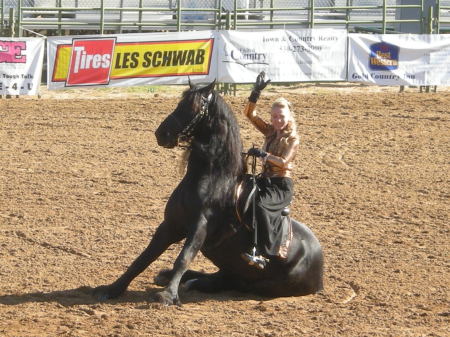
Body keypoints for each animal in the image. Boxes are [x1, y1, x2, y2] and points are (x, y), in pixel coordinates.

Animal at [93, 79, 322, 304]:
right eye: (180, 103)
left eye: (193, 107)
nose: (161, 133)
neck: (211, 179)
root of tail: (319, 270)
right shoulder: (170, 225)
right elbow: (143, 258)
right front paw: (113, 288)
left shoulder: (200, 227)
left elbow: (183, 257)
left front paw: (167, 295)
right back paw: (177, 277)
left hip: (258, 283)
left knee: (231, 282)